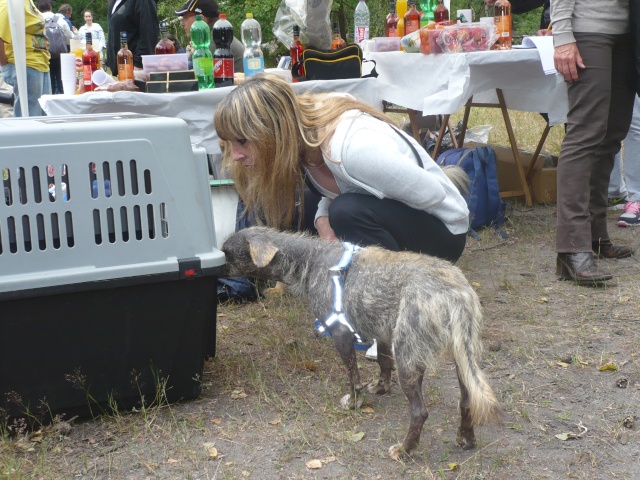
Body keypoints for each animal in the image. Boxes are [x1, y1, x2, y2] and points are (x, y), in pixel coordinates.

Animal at [222, 227, 502, 460]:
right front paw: (381, 387)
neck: (310, 260)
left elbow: (352, 376)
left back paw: (404, 450)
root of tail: (455, 293)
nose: (215, 272)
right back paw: (466, 438)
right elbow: (383, 362)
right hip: (460, 357)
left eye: (227, 253)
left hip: (408, 358)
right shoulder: (382, 334)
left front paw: (354, 402)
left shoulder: (341, 334)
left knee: (419, 412)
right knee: (467, 401)